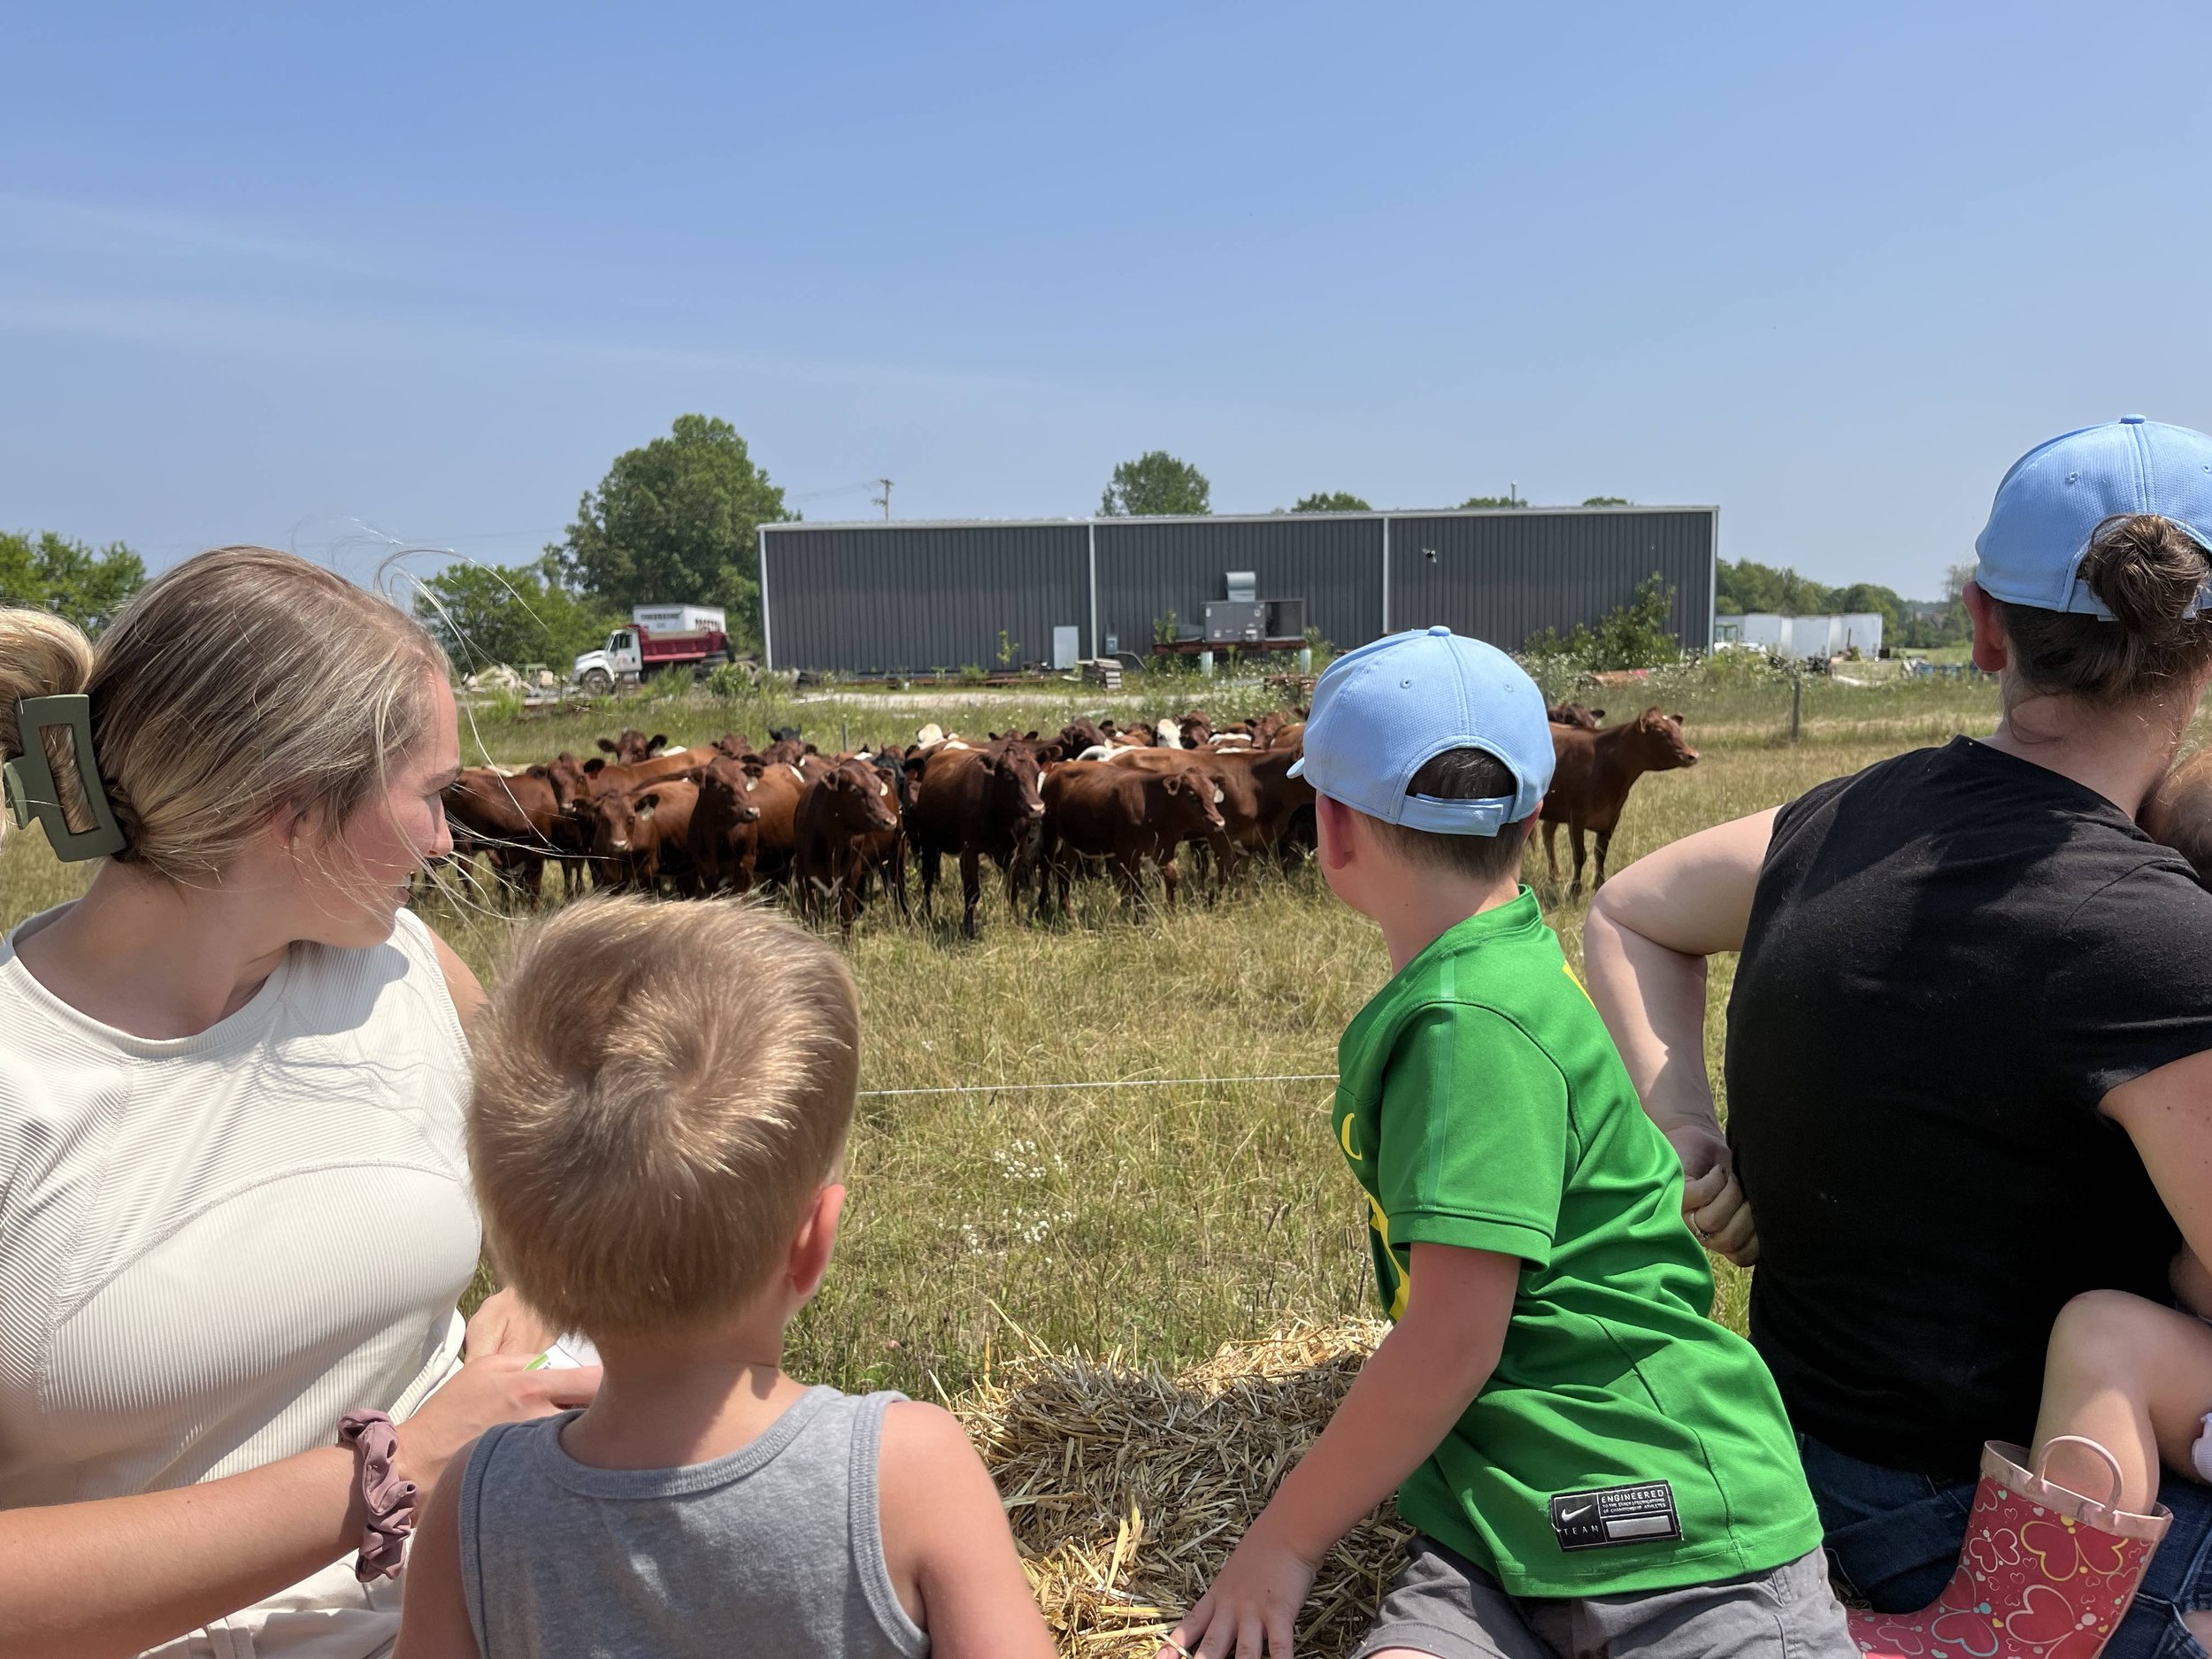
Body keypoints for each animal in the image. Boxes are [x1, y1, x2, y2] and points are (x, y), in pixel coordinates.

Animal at [792, 757, 902, 938]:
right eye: (854, 790)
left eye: (879, 788)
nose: (889, 820)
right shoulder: (804, 874)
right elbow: (811, 912)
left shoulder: (851, 873)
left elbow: (844, 913)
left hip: (897, 851)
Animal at [916, 752, 1053, 942]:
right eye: (1008, 775)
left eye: (1037, 773)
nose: (1037, 808)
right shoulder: (970, 850)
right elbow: (972, 892)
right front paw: (968, 929)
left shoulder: (1018, 851)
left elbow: (1013, 889)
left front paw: (1015, 920)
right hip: (929, 844)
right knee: (927, 881)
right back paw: (926, 914)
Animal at [1035, 761, 1230, 916]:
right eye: (1192, 796)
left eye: (1212, 793)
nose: (1219, 822)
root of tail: (1059, 767)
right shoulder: (1128, 854)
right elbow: (1136, 887)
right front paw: (1140, 918)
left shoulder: (1162, 851)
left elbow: (1171, 879)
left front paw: (1170, 911)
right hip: (1049, 831)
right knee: (1046, 866)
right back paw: (1044, 906)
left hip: (1072, 841)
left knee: (1064, 869)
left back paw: (1067, 911)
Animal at [1548, 712, 1699, 902]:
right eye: (1660, 731)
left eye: (1678, 729)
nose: (1692, 755)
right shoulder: (1576, 817)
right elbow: (1579, 855)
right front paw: (1574, 892)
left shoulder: (1612, 817)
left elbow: (1600, 853)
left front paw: (1598, 885)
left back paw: (1554, 876)